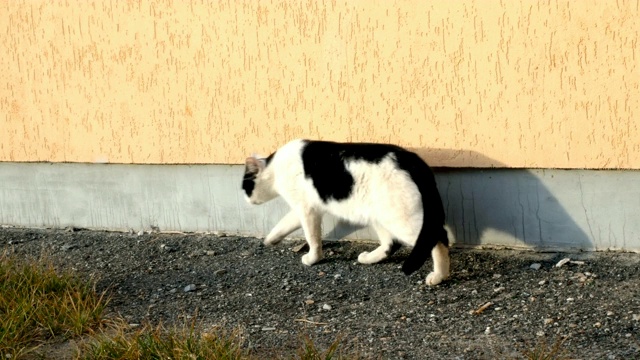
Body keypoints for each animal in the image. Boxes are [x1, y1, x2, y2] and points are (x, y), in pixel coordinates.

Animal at [241, 139, 450, 286]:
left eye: (245, 186)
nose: (245, 198)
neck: (275, 168)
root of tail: (412, 160)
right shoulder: (303, 207)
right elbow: (283, 224)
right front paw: (270, 240)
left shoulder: (307, 210)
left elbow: (312, 238)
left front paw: (313, 258)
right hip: (379, 215)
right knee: (391, 243)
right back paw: (369, 258)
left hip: (399, 217)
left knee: (438, 237)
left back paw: (439, 275)